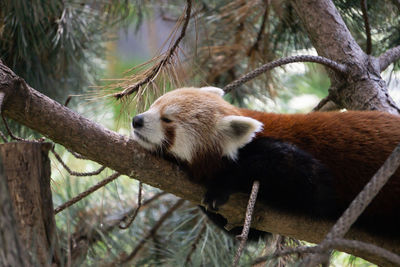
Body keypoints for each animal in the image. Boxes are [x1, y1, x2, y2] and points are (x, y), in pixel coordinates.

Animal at [131, 87, 400, 238]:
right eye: (153, 106)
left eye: (167, 120)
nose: (136, 120)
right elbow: (248, 231)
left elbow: (316, 191)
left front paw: (220, 187)